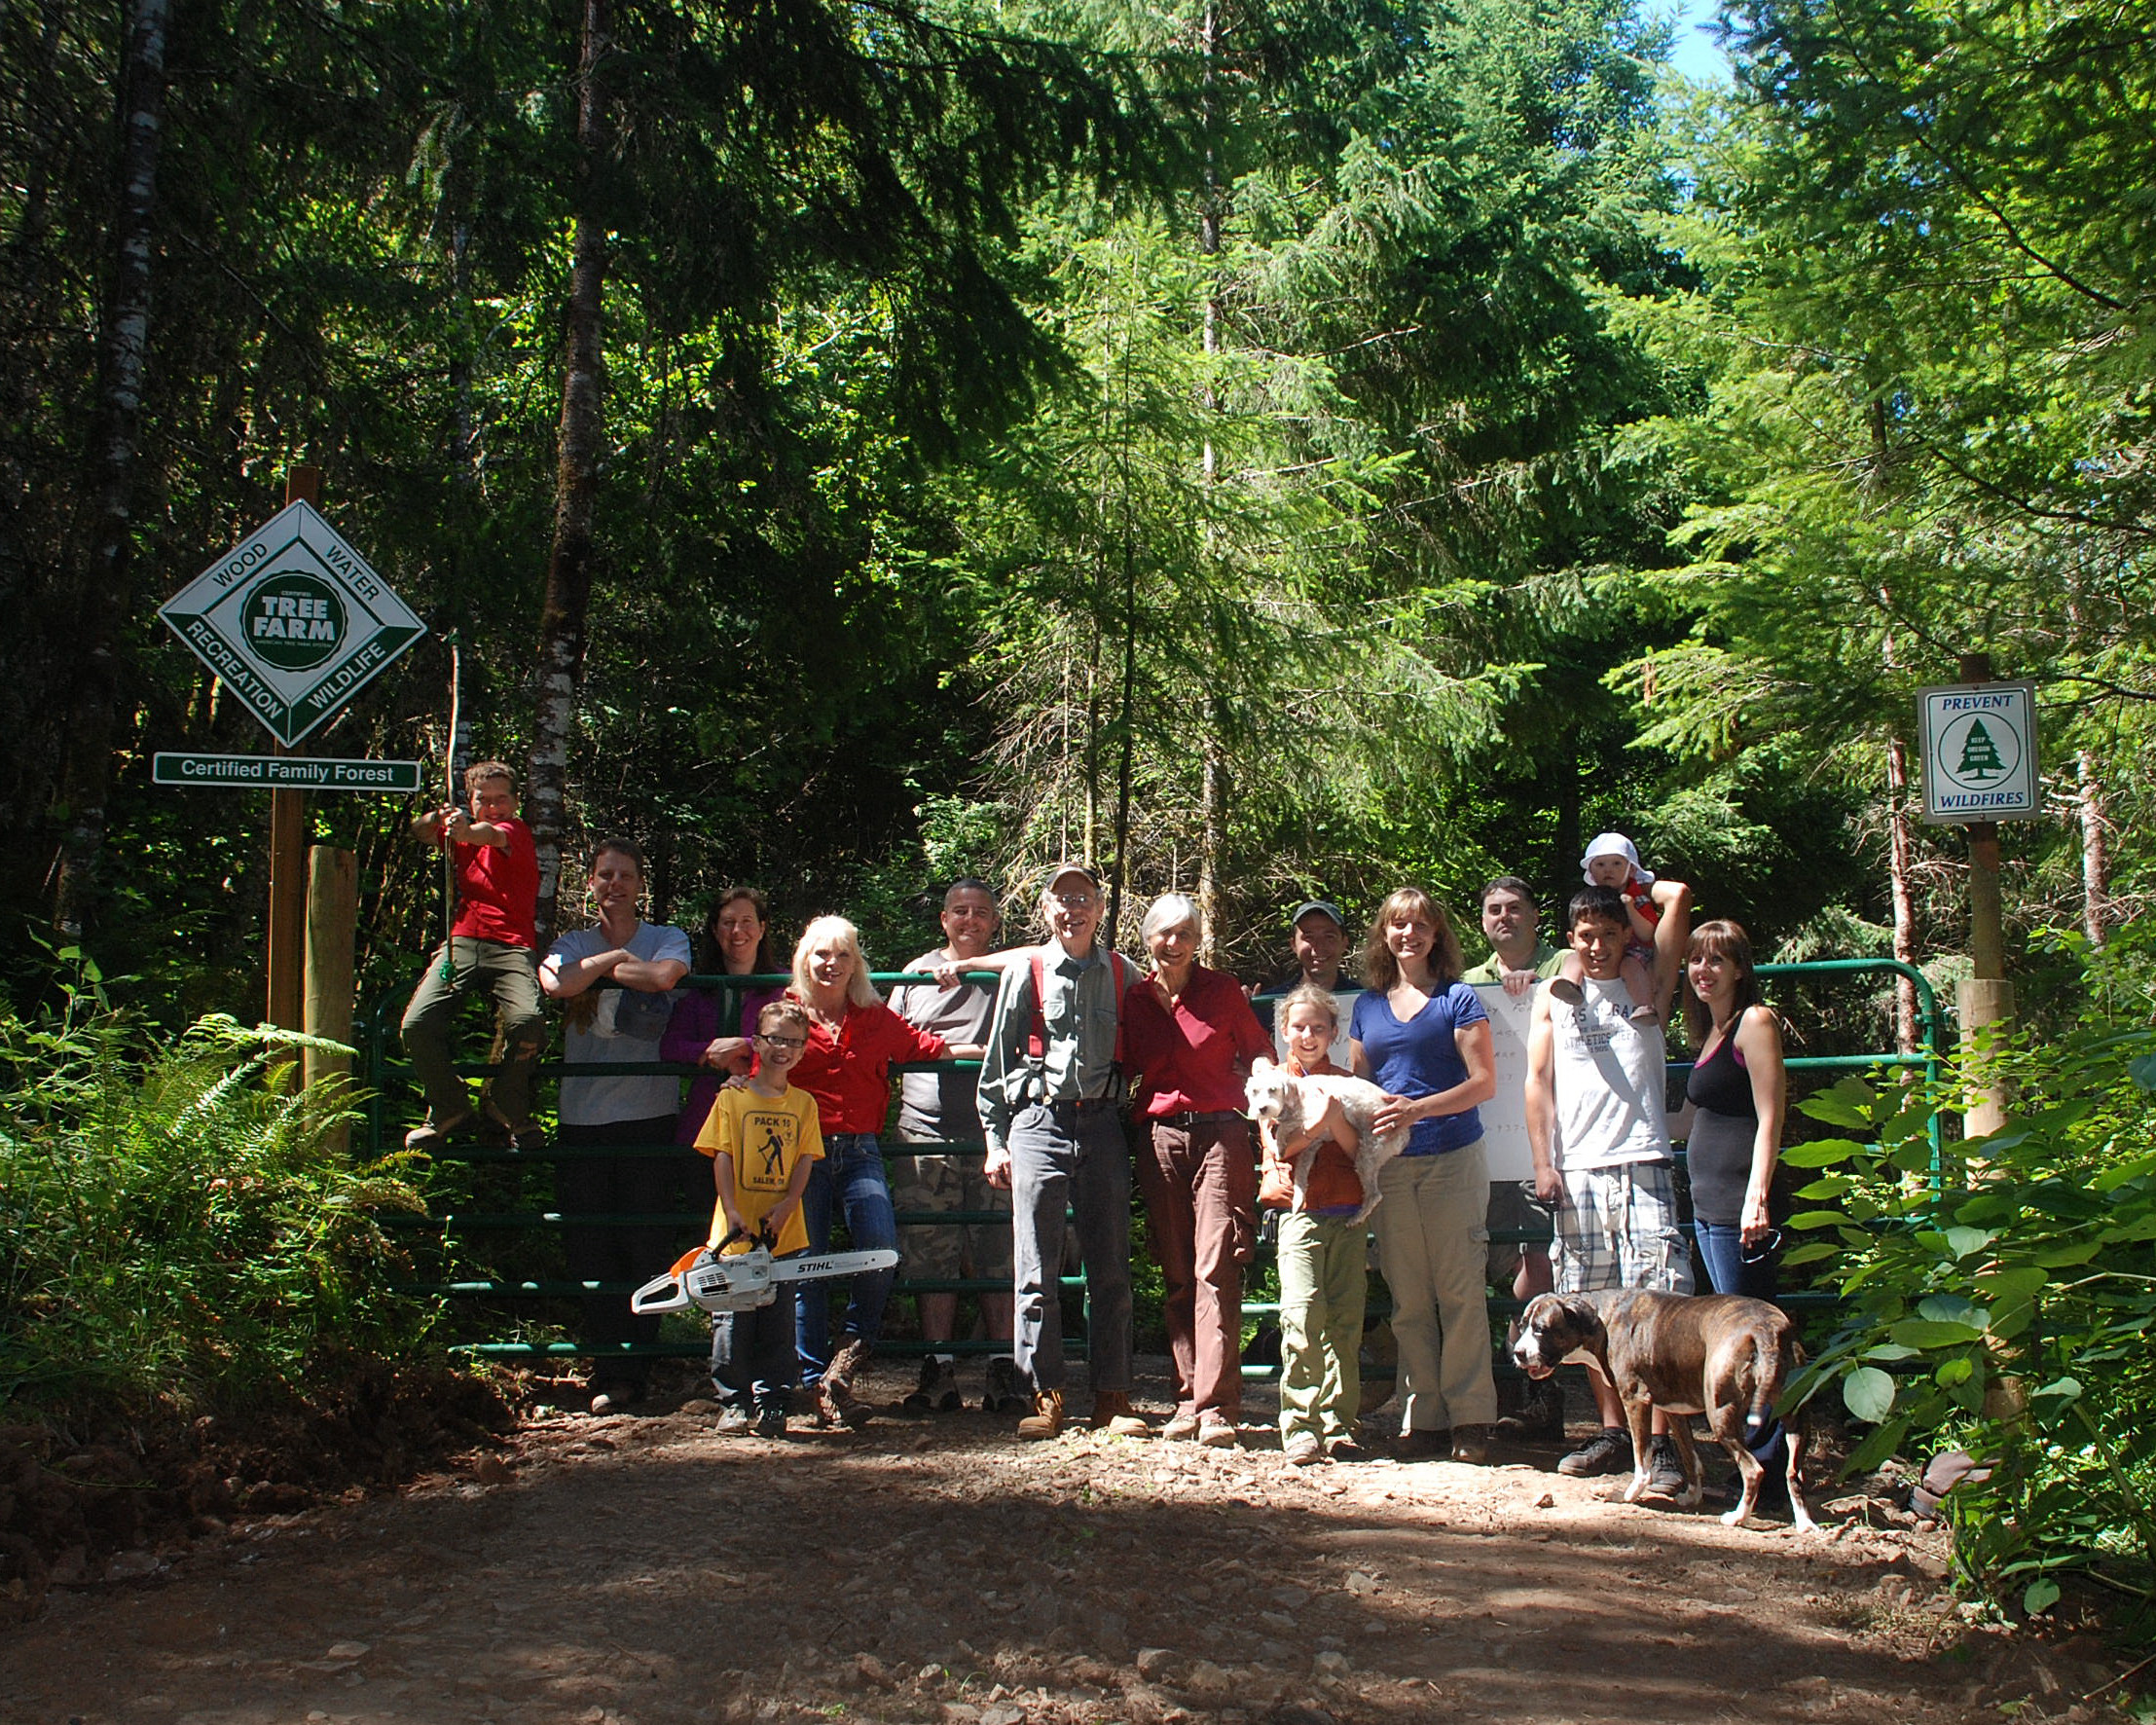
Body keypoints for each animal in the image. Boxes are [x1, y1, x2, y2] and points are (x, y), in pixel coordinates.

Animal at [1241, 1065, 1406, 1225]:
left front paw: (1279, 1146)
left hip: (1368, 1153)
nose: (1262, 1109)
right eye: (1254, 1091)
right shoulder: (1312, 1144)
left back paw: (1356, 1219)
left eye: (1273, 1089)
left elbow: (1284, 1127)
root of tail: (1404, 1136)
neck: (1296, 1097)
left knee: (1374, 1195)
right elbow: (1301, 1172)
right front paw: (1298, 1201)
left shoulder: (1314, 1118)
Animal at [1517, 1285, 1819, 1526]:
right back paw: (1805, 1524)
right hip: (1797, 1420)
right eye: (1522, 1326)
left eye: (1541, 1329)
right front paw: (1692, 1496)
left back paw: (1738, 1517)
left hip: (1721, 1416)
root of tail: (1766, 1328)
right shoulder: (1675, 1411)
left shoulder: (1635, 1400)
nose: (1518, 1352)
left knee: (1754, 1469)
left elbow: (1641, 1459)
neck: (1604, 1318)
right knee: (1793, 1473)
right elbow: (1690, 1457)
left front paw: (1628, 1495)